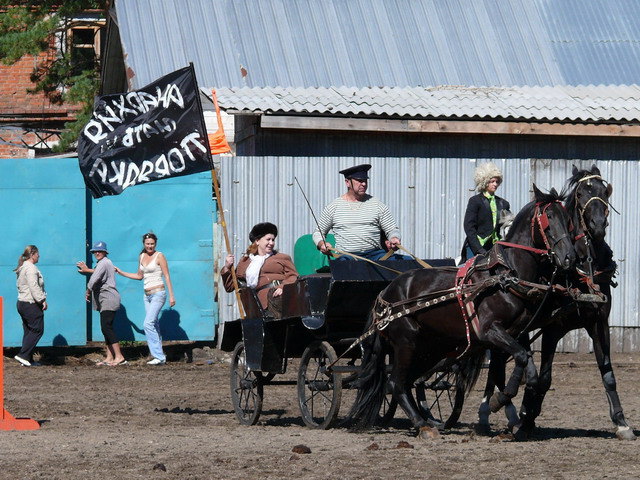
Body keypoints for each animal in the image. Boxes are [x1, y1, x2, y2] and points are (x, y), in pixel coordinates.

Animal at [348, 186, 576, 434]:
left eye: (568, 219)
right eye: (548, 217)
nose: (569, 257)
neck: (505, 274)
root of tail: (385, 294)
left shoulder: (517, 334)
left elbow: (528, 368)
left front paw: (515, 411)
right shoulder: (490, 331)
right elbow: (520, 360)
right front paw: (500, 401)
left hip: (430, 348)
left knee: (410, 381)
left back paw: (426, 420)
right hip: (406, 343)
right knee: (396, 383)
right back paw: (422, 424)